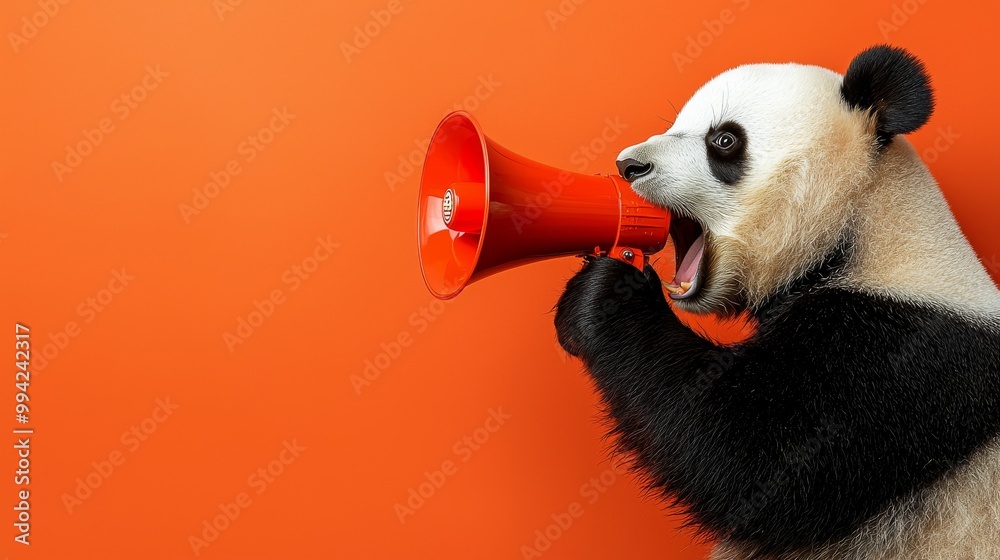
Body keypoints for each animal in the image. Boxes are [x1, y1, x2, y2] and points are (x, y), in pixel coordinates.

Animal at [554, 45, 1000, 560]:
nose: (628, 166)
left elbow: (757, 459)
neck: (861, 226)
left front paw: (603, 297)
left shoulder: (906, 357)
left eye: (724, 139)